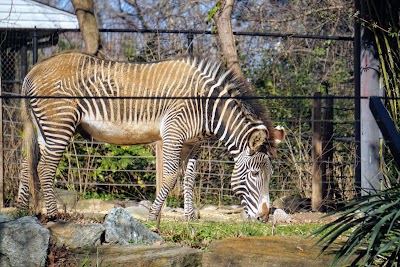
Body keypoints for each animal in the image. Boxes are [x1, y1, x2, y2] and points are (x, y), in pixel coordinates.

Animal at [18, 51, 284, 223]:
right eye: (254, 174)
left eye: (270, 174)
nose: (264, 217)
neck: (207, 106)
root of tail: (33, 70)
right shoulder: (173, 134)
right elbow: (170, 177)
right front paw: (154, 216)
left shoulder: (193, 144)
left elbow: (189, 179)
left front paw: (189, 218)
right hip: (59, 125)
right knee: (44, 168)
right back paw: (53, 215)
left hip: (43, 129)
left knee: (26, 165)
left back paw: (23, 211)